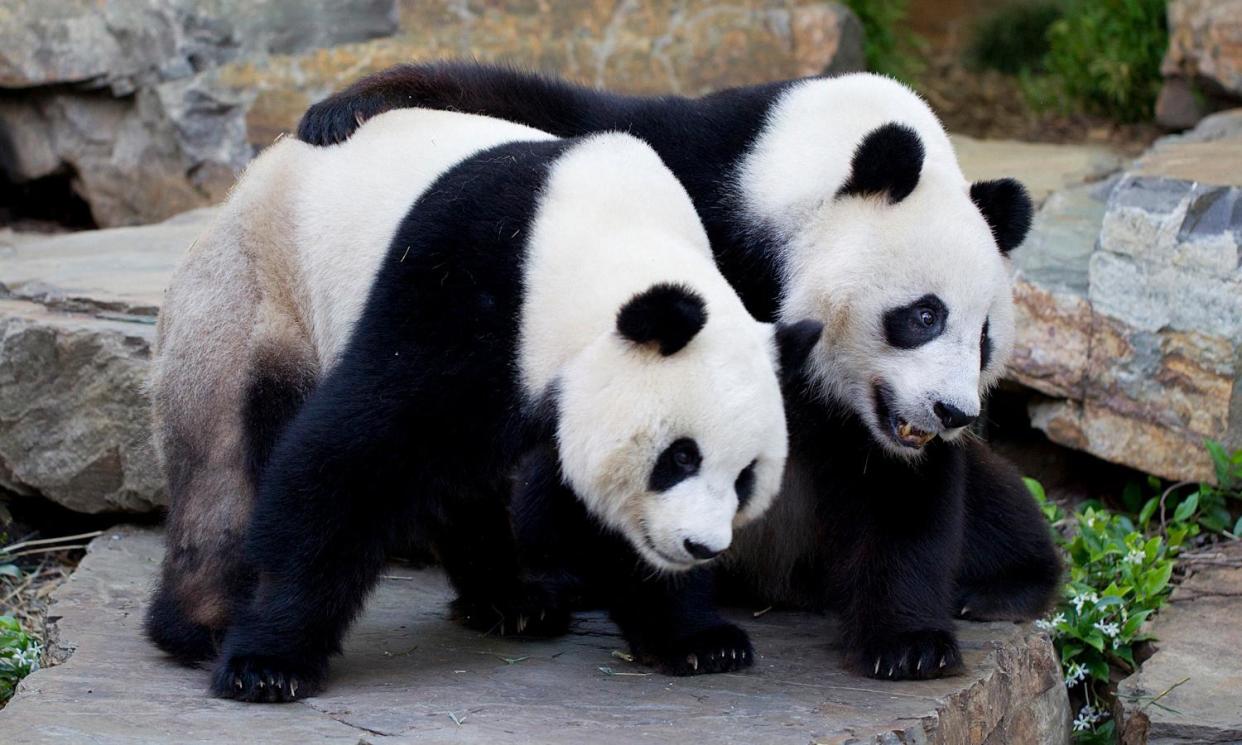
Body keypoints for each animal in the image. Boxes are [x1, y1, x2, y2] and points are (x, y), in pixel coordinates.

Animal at [147, 107, 824, 700]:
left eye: (745, 476)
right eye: (679, 457)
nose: (700, 547)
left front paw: (700, 639)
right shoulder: (464, 284)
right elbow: (348, 458)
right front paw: (268, 663)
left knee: (460, 482)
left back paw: (515, 600)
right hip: (255, 296)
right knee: (226, 467)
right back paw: (202, 626)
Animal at [295, 63, 1063, 680]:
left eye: (986, 339)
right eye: (924, 315)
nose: (954, 412)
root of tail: (781, 580)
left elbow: (902, 489)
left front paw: (909, 644)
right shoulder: (702, 180)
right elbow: (570, 118)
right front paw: (352, 107)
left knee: (994, 502)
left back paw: (998, 586)